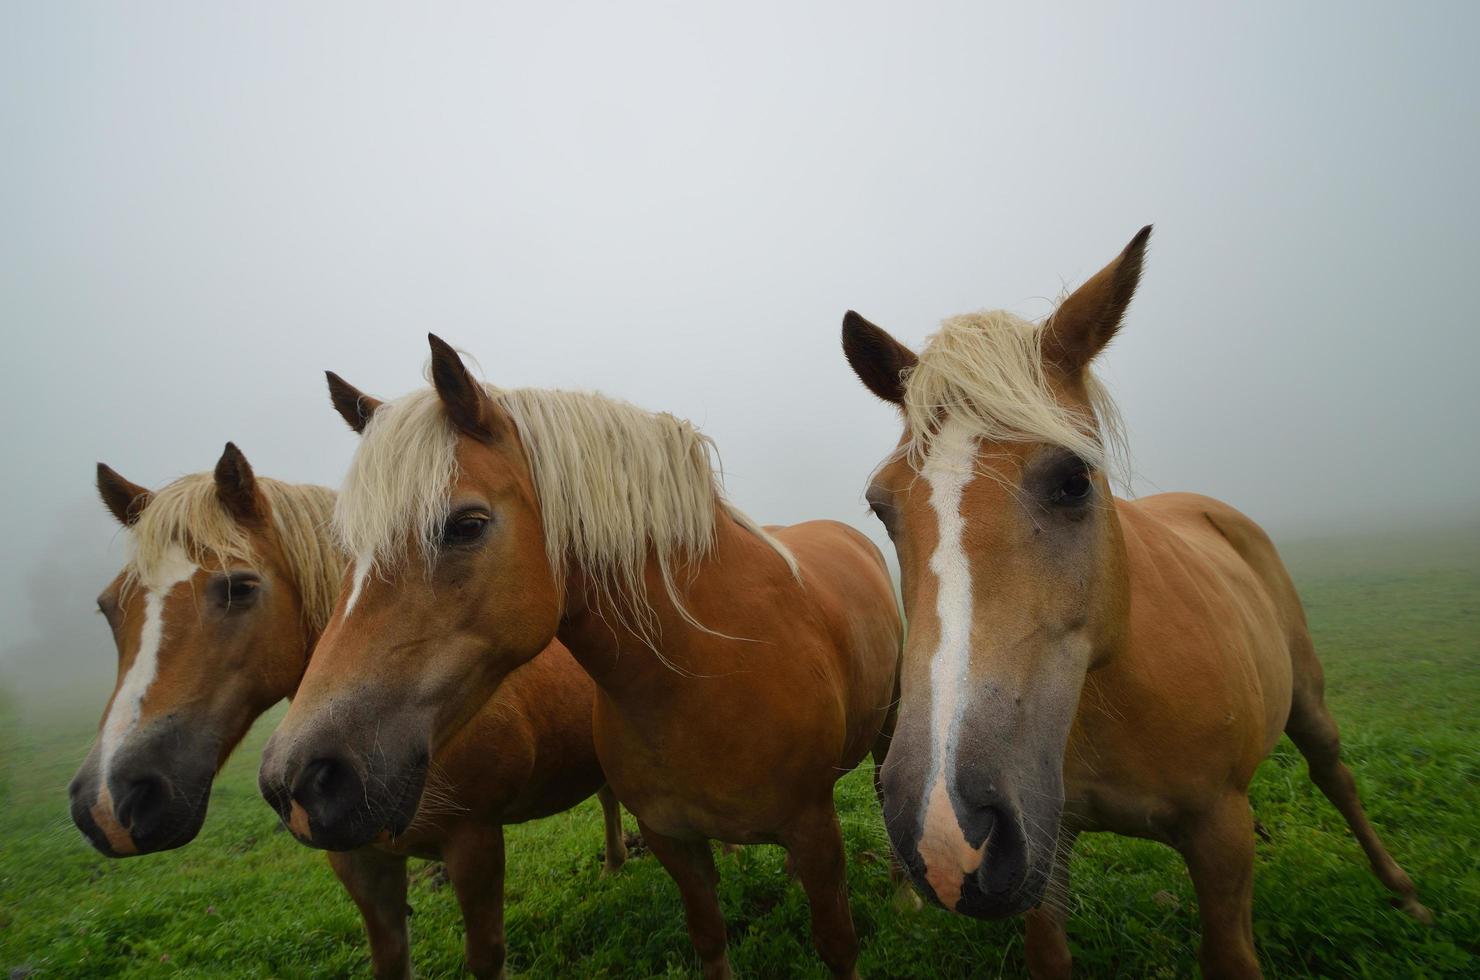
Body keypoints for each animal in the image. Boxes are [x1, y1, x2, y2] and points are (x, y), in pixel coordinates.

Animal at [70, 447, 624, 980]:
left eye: (239, 587)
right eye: (108, 607)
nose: (108, 802)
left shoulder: (475, 843)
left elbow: (486, 956)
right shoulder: (359, 860)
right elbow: (390, 961)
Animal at [254, 336, 899, 977]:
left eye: (466, 524)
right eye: (343, 551)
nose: (299, 778)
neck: (711, 676)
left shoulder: (815, 830)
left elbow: (837, 942)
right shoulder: (674, 841)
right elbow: (710, 937)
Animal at [846, 226, 1432, 977]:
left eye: (1073, 480)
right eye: (881, 507)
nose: (947, 828)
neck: (1116, 691)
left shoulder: (1221, 835)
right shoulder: (1045, 847)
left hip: (1308, 700)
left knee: (1338, 778)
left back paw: (1404, 892)